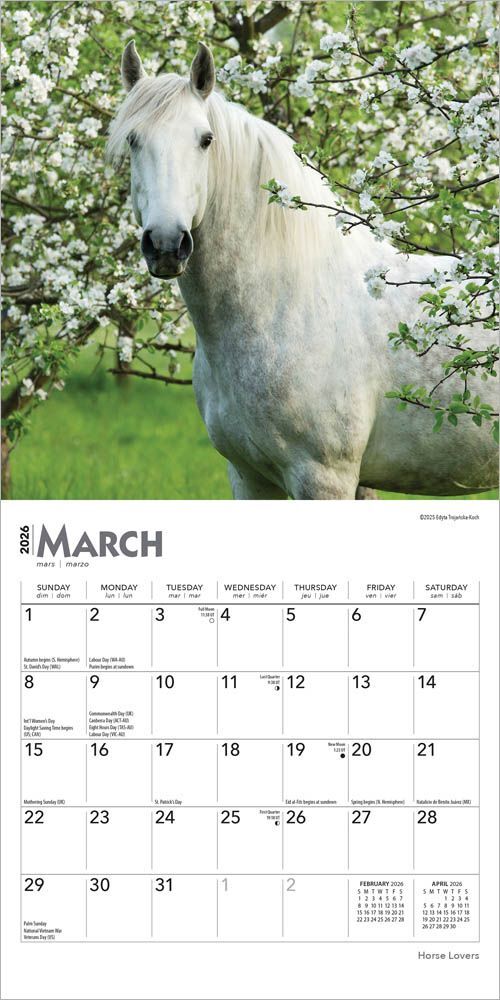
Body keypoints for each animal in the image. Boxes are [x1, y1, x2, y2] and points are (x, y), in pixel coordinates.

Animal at [107, 41, 498, 500]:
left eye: (205, 140)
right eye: (133, 140)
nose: (167, 244)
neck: (283, 303)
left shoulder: (324, 478)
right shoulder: (249, 477)